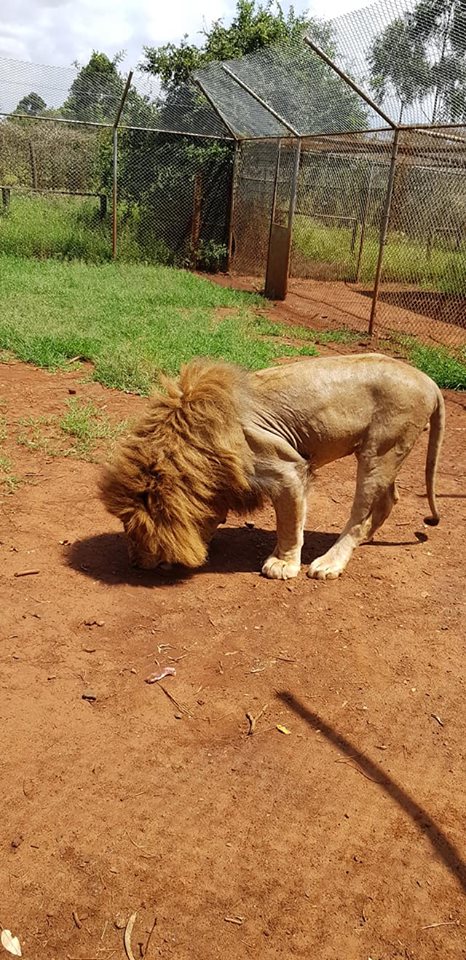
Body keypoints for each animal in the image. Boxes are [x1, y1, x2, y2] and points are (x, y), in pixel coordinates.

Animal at [99, 354, 444, 581]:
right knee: (389, 499)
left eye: (134, 528)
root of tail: (428, 380)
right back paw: (366, 538)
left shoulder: (287, 470)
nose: (134, 564)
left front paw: (282, 564)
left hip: (380, 450)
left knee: (360, 513)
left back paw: (329, 563)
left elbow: (289, 524)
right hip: (386, 451)